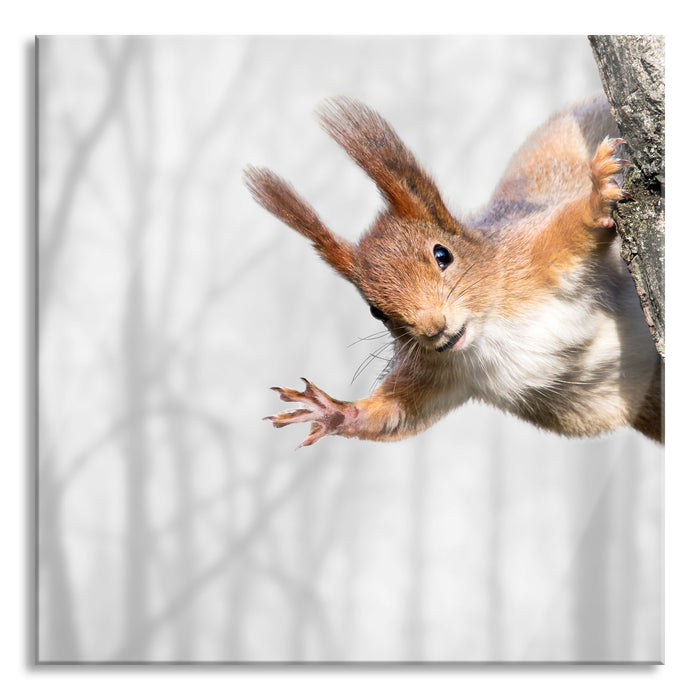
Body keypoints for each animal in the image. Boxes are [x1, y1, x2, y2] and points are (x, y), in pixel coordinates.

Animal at [244, 94, 663, 448]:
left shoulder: (531, 256)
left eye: (442, 254)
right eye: (376, 311)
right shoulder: (438, 372)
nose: (433, 329)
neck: (488, 330)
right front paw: (334, 412)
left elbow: (571, 227)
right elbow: (397, 413)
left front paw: (597, 196)